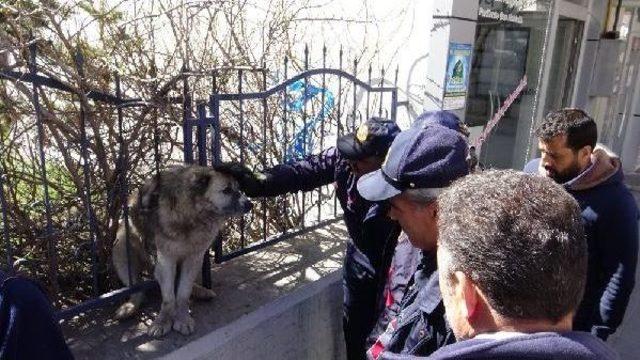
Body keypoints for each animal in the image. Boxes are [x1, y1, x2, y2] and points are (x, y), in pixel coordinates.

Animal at [111, 166, 251, 338]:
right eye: (226, 190)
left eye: (238, 188)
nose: (250, 205)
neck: (192, 213)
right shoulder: (166, 259)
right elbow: (169, 298)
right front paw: (163, 321)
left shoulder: (194, 257)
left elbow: (183, 292)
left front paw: (182, 318)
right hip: (121, 249)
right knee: (137, 290)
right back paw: (130, 307)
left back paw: (201, 291)